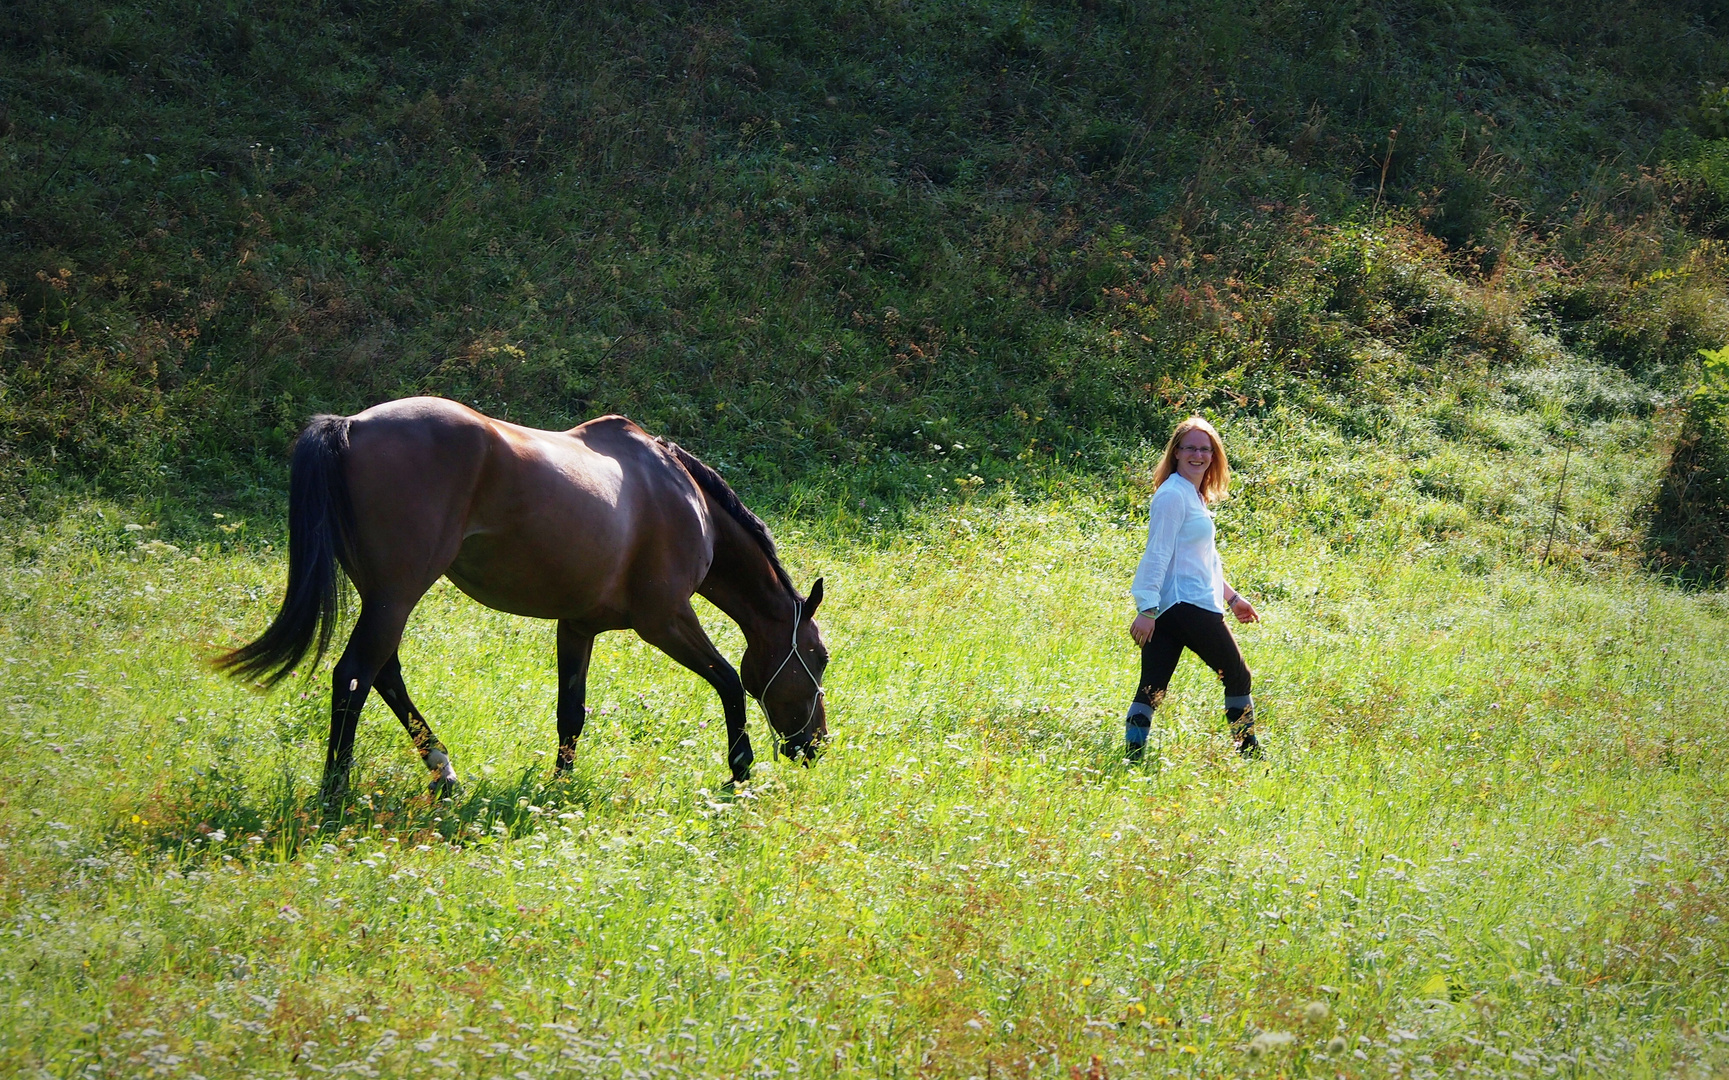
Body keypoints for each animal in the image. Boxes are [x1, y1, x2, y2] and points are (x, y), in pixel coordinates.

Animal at [217, 397, 829, 801]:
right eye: (818, 658)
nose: (815, 746)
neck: (678, 493)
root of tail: (350, 426)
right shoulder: (666, 619)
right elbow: (729, 681)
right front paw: (741, 769)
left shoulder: (578, 625)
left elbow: (570, 712)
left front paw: (559, 787)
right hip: (396, 595)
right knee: (353, 678)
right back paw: (336, 793)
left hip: (383, 598)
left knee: (384, 674)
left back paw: (442, 771)